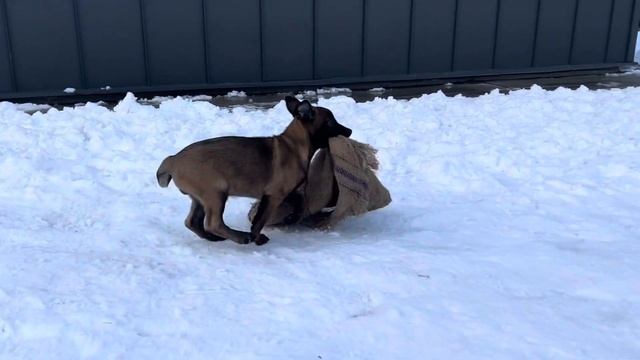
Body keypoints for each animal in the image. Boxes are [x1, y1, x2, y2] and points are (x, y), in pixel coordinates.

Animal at [157, 97, 352, 246]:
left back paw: (212, 238)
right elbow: (260, 221)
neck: (294, 146)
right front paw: (257, 238)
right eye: (331, 122)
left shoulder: (283, 192)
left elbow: (299, 201)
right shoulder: (274, 195)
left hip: (199, 198)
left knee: (192, 222)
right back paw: (241, 237)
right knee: (213, 223)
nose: (349, 131)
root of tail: (173, 159)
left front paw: (292, 217)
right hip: (216, 193)